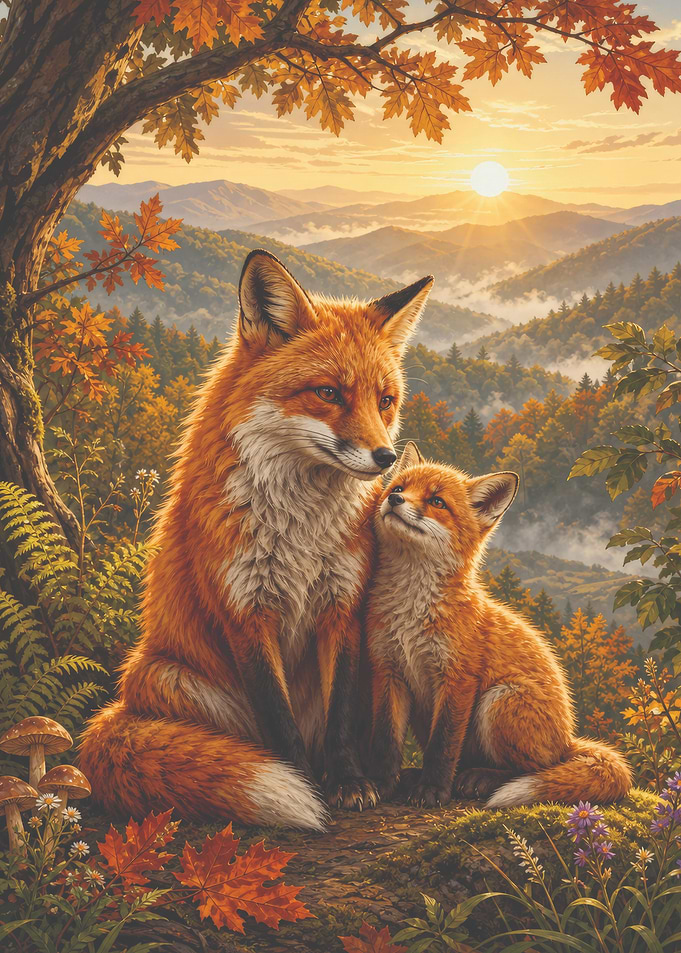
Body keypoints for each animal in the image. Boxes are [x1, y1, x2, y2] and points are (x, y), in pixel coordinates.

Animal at [79, 250, 434, 830]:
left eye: (385, 400)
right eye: (328, 393)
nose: (385, 458)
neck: (299, 533)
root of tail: (124, 704)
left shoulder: (341, 607)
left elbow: (338, 716)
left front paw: (347, 781)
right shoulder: (244, 612)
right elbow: (278, 722)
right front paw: (305, 786)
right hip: (170, 677)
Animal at [364, 442, 632, 809]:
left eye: (437, 501)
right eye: (399, 487)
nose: (393, 500)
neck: (411, 611)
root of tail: (568, 740)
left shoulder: (458, 679)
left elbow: (443, 745)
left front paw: (432, 789)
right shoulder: (388, 670)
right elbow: (386, 740)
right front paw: (381, 783)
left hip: (499, 701)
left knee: (533, 768)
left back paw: (481, 779)